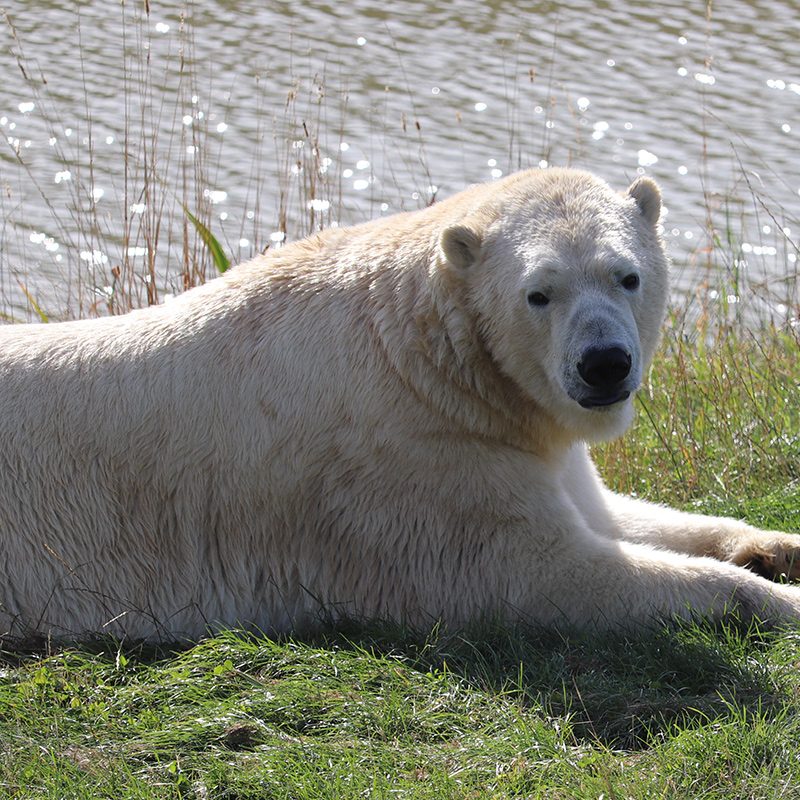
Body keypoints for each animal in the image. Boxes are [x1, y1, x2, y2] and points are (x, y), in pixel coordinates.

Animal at [1, 166, 800, 640]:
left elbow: (616, 514)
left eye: (626, 275)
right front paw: (779, 601)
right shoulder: (414, 471)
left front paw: (775, 547)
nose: (604, 364)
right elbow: (550, 571)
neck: (425, 357)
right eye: (539, 293)